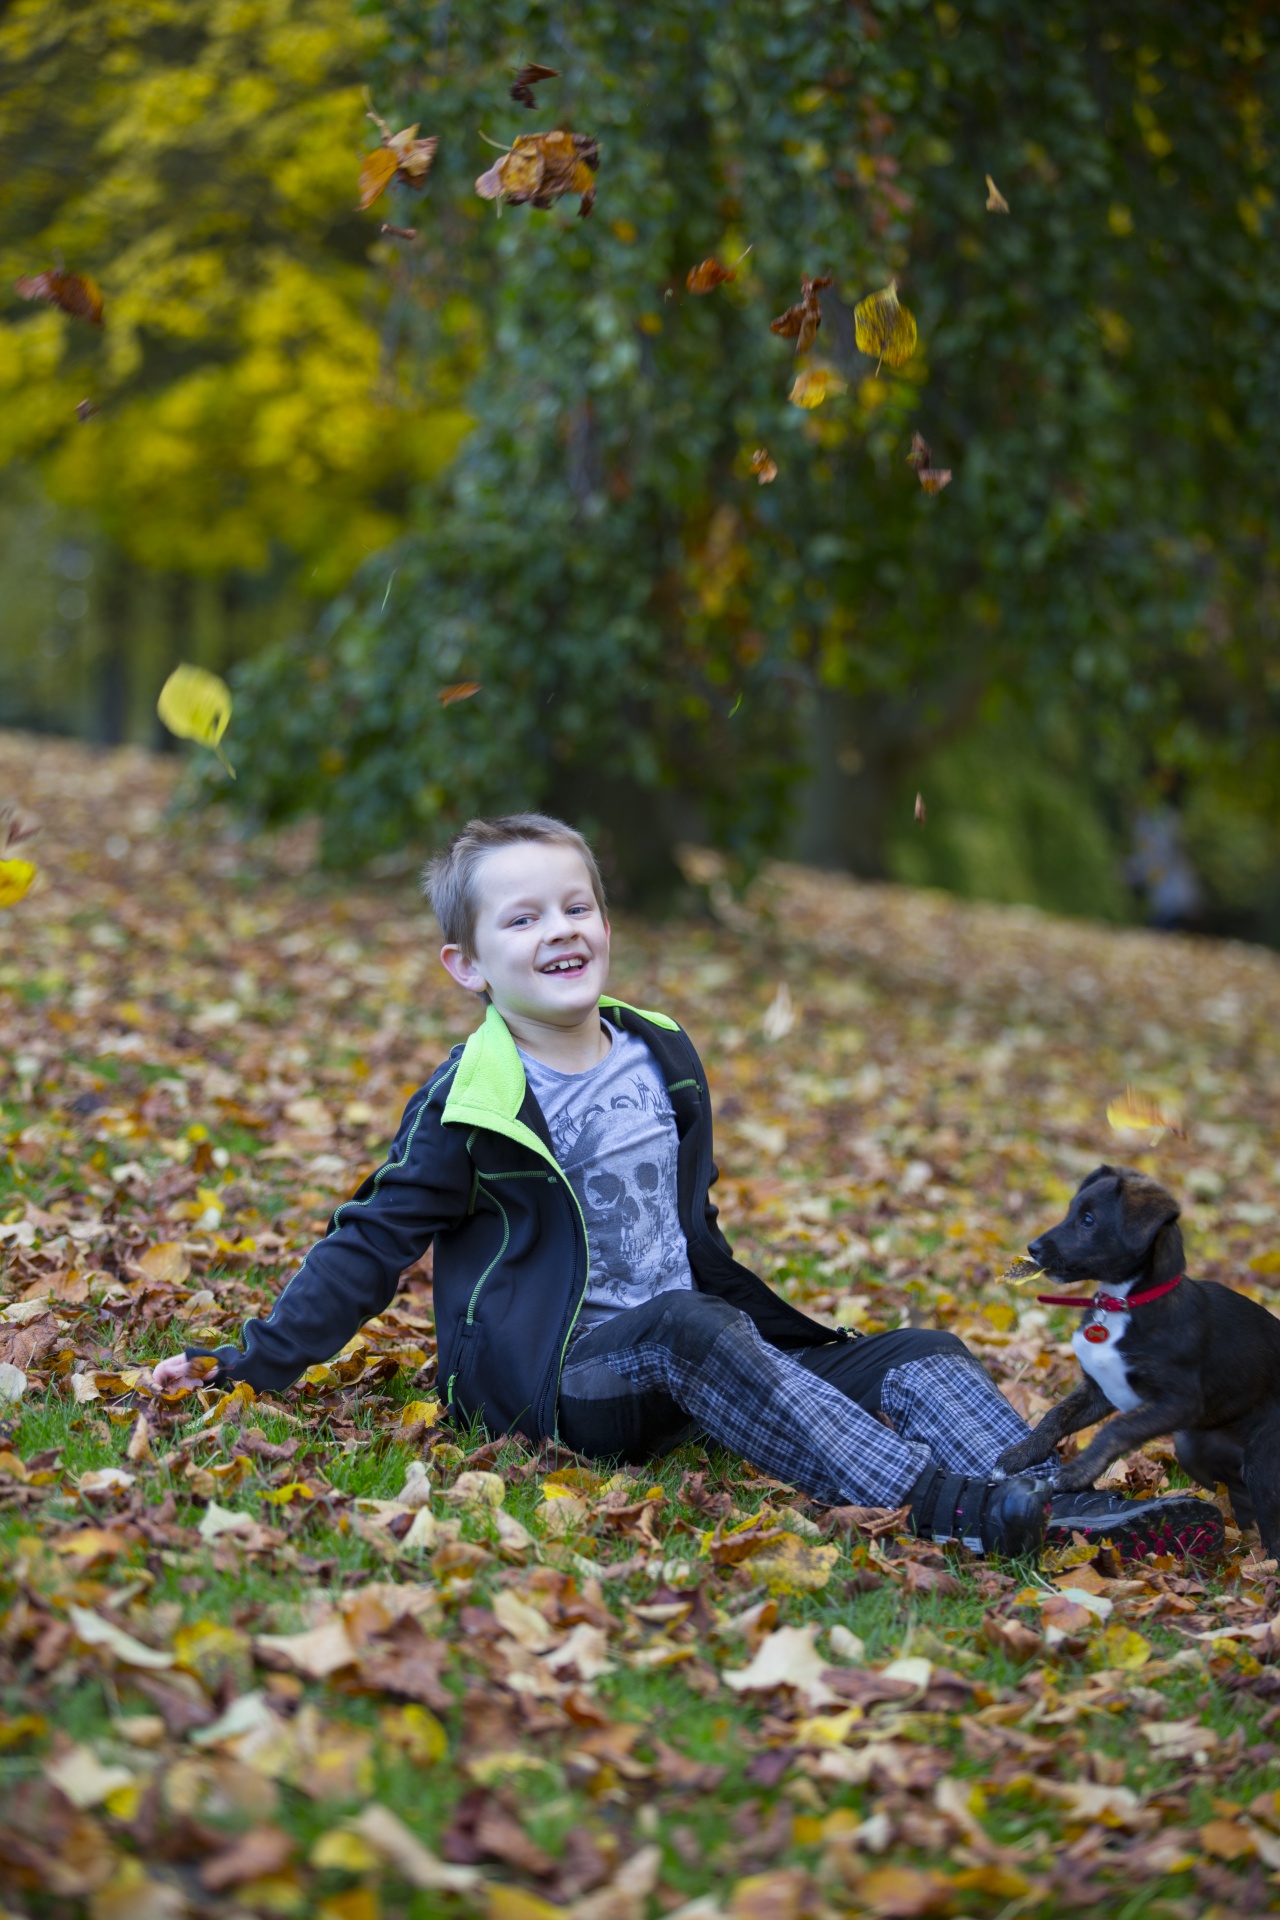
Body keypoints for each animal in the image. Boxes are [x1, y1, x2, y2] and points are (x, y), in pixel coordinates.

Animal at [997, 1159, 1280, 1551]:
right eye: (1071, 1211)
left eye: (1089, 1220)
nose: (1033, 1247)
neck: (1123, 1303)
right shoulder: (1100, 1390)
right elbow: (1055, 1415)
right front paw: (1019, 1455)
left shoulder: (1178, 1401)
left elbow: (1116, 1429)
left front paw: (1074, 1474)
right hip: (1194, 1447)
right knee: (1240, 1497)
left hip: (1264, 1461)